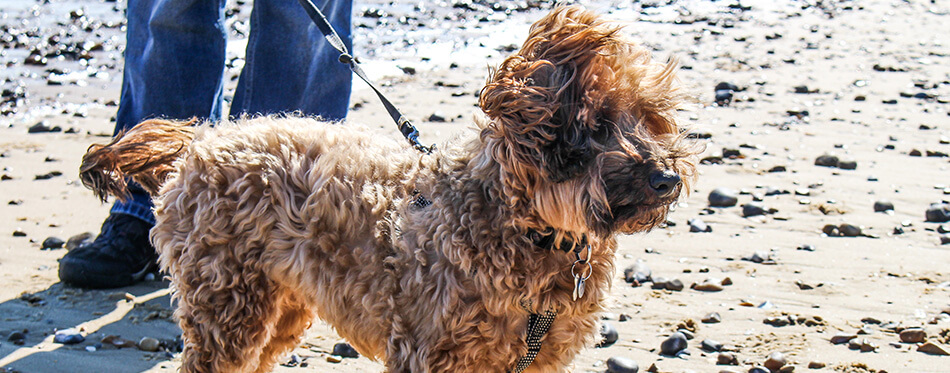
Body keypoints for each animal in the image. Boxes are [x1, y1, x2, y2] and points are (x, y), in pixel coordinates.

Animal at [76, 5, 700, 372]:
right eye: (597, 122)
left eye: (650, 119)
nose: (667, 178)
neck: (533, 232)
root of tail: (204, 142)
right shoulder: (430, 354)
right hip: (227, 301)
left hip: (281, 305)